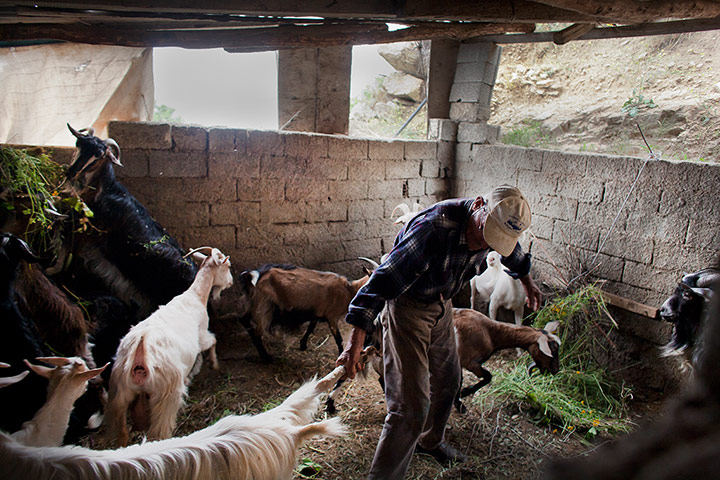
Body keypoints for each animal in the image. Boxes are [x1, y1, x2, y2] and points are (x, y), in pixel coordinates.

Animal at [104, 248, 232, 446]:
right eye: (227, 266)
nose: (231, 282)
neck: (195, 296)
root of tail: (140, 350)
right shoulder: (201, 336)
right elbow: (212, 341)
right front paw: (214, 363)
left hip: (119, 392)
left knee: (123, 432)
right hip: (166, 394)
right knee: (158, 432)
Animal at [238, 264, 368, 362]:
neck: (349, 289)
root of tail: (252, 276)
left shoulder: (317, 313)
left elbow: (310, 328)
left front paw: (303, 344)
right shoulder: (332, 316)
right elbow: (338, 339)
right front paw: (340, 356)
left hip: (254, 304)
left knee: (243, 319)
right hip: (264, 307)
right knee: (257, 332)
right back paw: (266, 358)